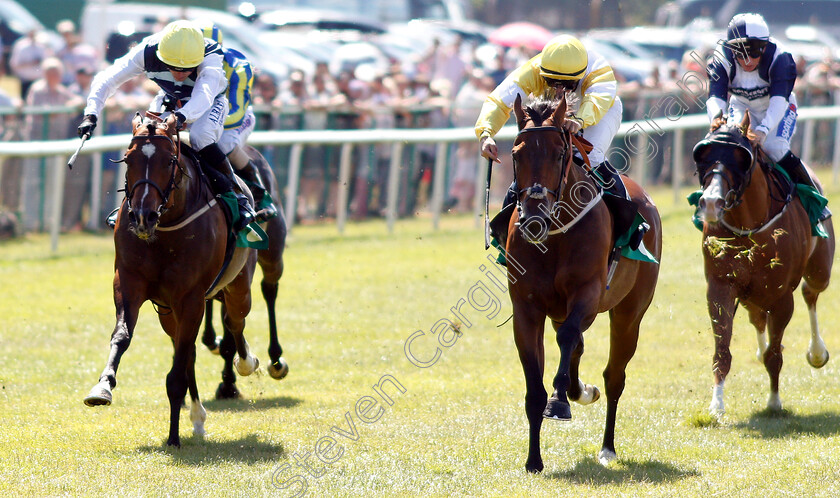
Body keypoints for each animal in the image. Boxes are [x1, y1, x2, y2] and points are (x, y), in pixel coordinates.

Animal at [82, 114, 260, 448]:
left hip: (238, 285)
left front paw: (173, 437)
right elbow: (122, 335)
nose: (142, 216)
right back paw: (198, 416)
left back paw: (247, 364)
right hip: (167, 311)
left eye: (169, 161)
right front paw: (102, 387)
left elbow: (177, 374)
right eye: (129, 159)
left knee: (235, 322)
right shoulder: (129, 282)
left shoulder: (191, 297)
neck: (164, 229)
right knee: (186, 349)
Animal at [506, 95, 664, 472]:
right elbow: (534, 385)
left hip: (629, 313)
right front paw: (533, 460)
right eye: (516, 154)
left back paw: (607, 446)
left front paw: (560, 401)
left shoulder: (587, 294)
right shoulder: (527, 308)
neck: (553, 237)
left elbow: (567, 341)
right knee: (577, 346)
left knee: (614, 375)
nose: (533, 219)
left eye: (557, 153)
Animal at [696, 115, 832, 416]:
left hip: (820, 270)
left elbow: (775, 353)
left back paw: (817, 352)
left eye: (741, 157)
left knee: (810, 292)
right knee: (756, 315)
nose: (711, 202)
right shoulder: (720, 287)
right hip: (751, 291)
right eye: (703, 154)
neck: (749, 224)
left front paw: (774, 401)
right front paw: (716, 404)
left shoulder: (781, 296)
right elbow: (722, 350)